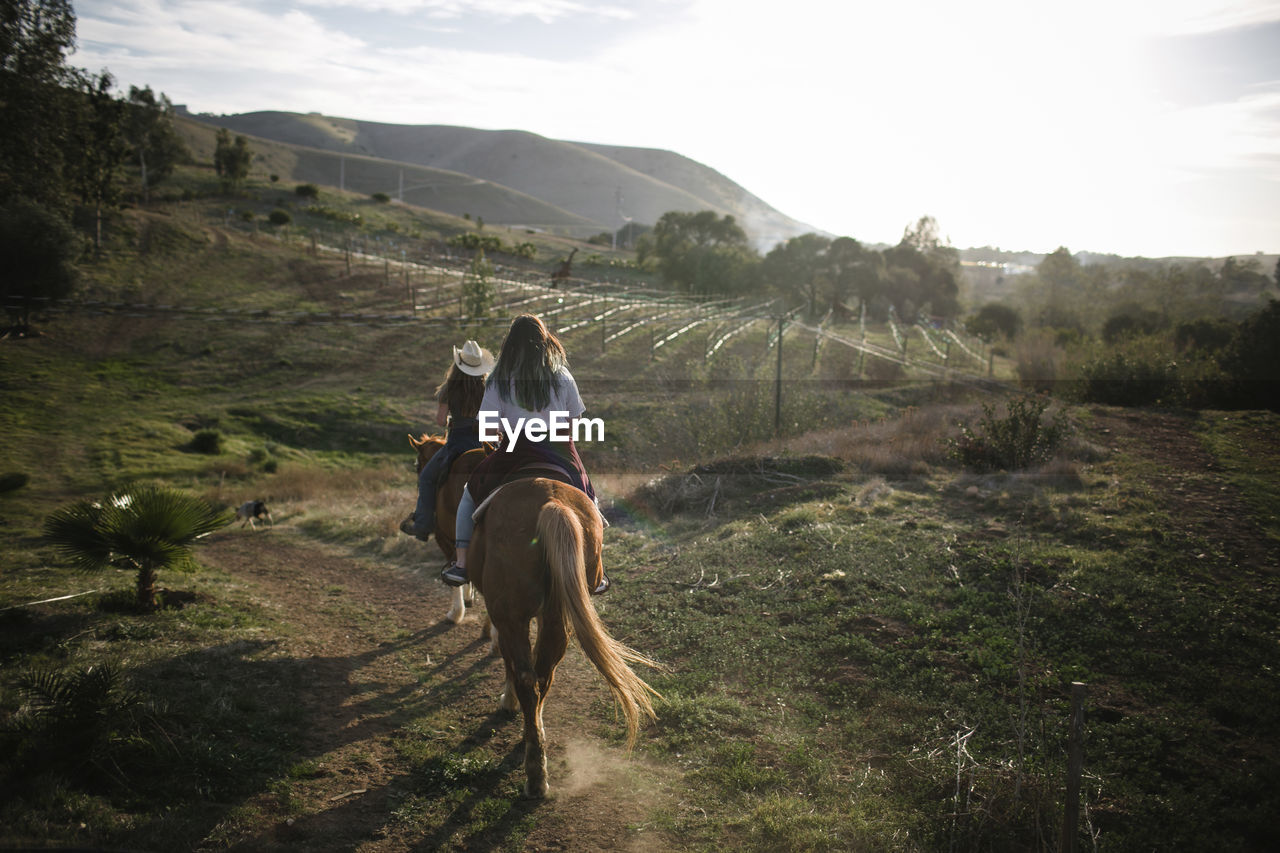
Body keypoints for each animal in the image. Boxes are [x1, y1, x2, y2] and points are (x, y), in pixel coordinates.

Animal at [468, 473, 660, 794]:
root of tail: (553, 503)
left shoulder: (505, 618)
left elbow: (509, 662)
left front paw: (508, 702)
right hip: (557, 615)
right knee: (543, 675)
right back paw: (535, 746)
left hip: (512, 616)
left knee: (526, 677)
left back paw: (534, 773)